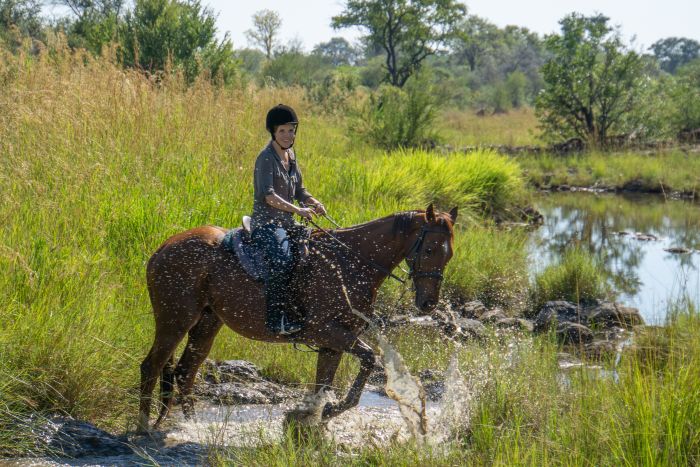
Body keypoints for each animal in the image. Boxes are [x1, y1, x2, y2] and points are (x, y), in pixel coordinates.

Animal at [139, 204, 456, 432]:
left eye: (449, 255)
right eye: (429, 249)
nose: (428, 304)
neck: (349, 264)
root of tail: (163, 248)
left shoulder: (333, 343)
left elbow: (323, 385)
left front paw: (315, 419)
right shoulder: (326, 331)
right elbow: (369, 359)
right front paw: (325, 412)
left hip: (207, 323)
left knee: (185, 371)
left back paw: (191, 428)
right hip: (175, 320)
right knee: (152, 365)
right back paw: (142, 426)